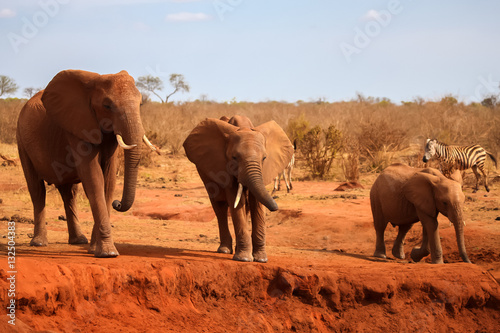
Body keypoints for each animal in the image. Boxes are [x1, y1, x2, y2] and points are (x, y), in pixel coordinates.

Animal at [17, 69, 156, 256]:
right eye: (107, 106)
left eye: (140, 104)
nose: (118, 203)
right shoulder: (78, 127)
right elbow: (94, 177)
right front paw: (108, 254)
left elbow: (108, 180)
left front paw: (94, 249)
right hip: (22, 140)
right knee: (37, 190)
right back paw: (38, 243)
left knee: (69, 193)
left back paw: (78, 241)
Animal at [183, 115, 292, 260]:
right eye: (234, 157)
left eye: (264, 158)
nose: (275, 207)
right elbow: (236, 202)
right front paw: (244, 259)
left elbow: (256, 203)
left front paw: (261, 259)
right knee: (220, 206)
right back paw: (224, 250)